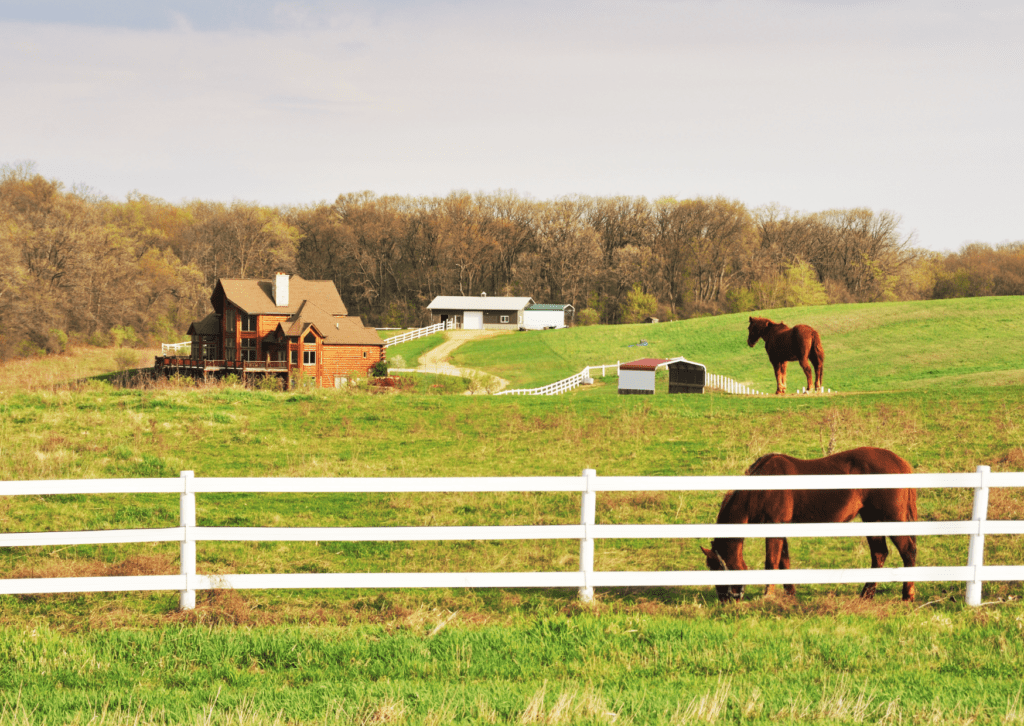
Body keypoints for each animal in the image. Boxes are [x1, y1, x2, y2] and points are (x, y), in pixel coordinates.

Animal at [700, 444, 917, 602]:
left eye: (717, 569)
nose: (726, 600)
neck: (760, 489)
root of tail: (900, 463)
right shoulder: (781, 528)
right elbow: (784, 561)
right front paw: (789, 595)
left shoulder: (774, 526)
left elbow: (772, 562)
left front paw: (768, 596)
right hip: (871, 518)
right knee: (879, 554)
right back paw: (866, 595)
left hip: (891, 519)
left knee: (908, 551)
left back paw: (907, 595)